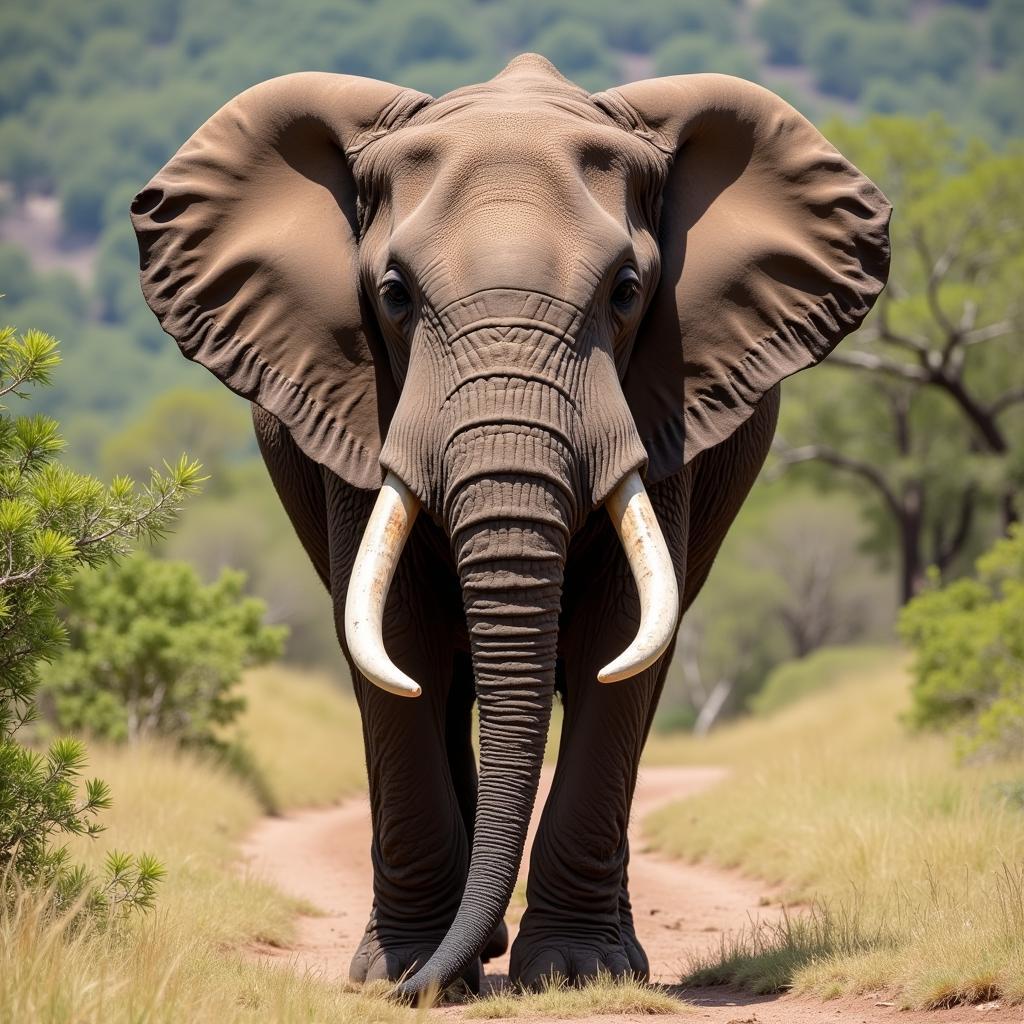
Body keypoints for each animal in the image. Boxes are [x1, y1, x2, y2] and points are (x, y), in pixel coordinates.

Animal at [134, 54, 888, 999]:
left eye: (628, 293)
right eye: (392, 296)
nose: (414, 988)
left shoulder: (667, 404)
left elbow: (616, 636)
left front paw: (574, 972)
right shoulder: (357, 405)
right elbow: (399, 640)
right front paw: (406, 972)